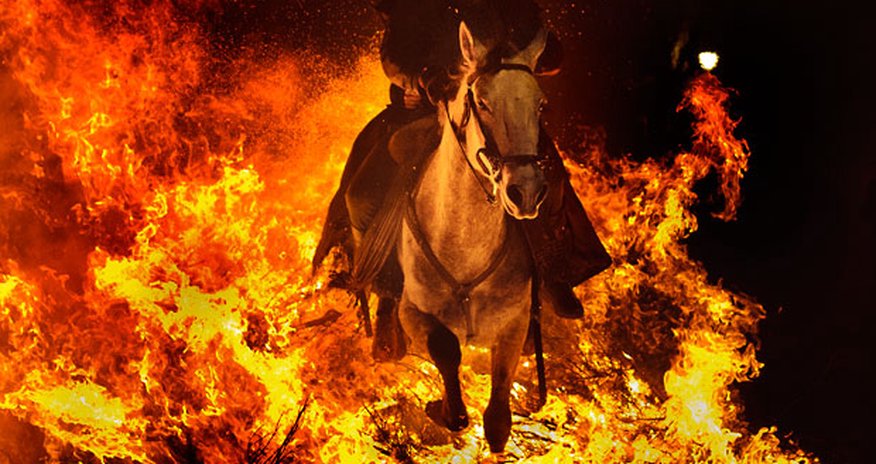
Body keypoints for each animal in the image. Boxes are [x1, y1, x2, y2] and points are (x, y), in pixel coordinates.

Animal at [396, 22, 550, 453]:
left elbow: (497, 422)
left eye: (541, 105)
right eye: (481, 101)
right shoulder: (410, 313)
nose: (526, 192)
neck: (464, 247)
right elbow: (446, 349)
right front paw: (444, 409)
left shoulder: (515, 327)